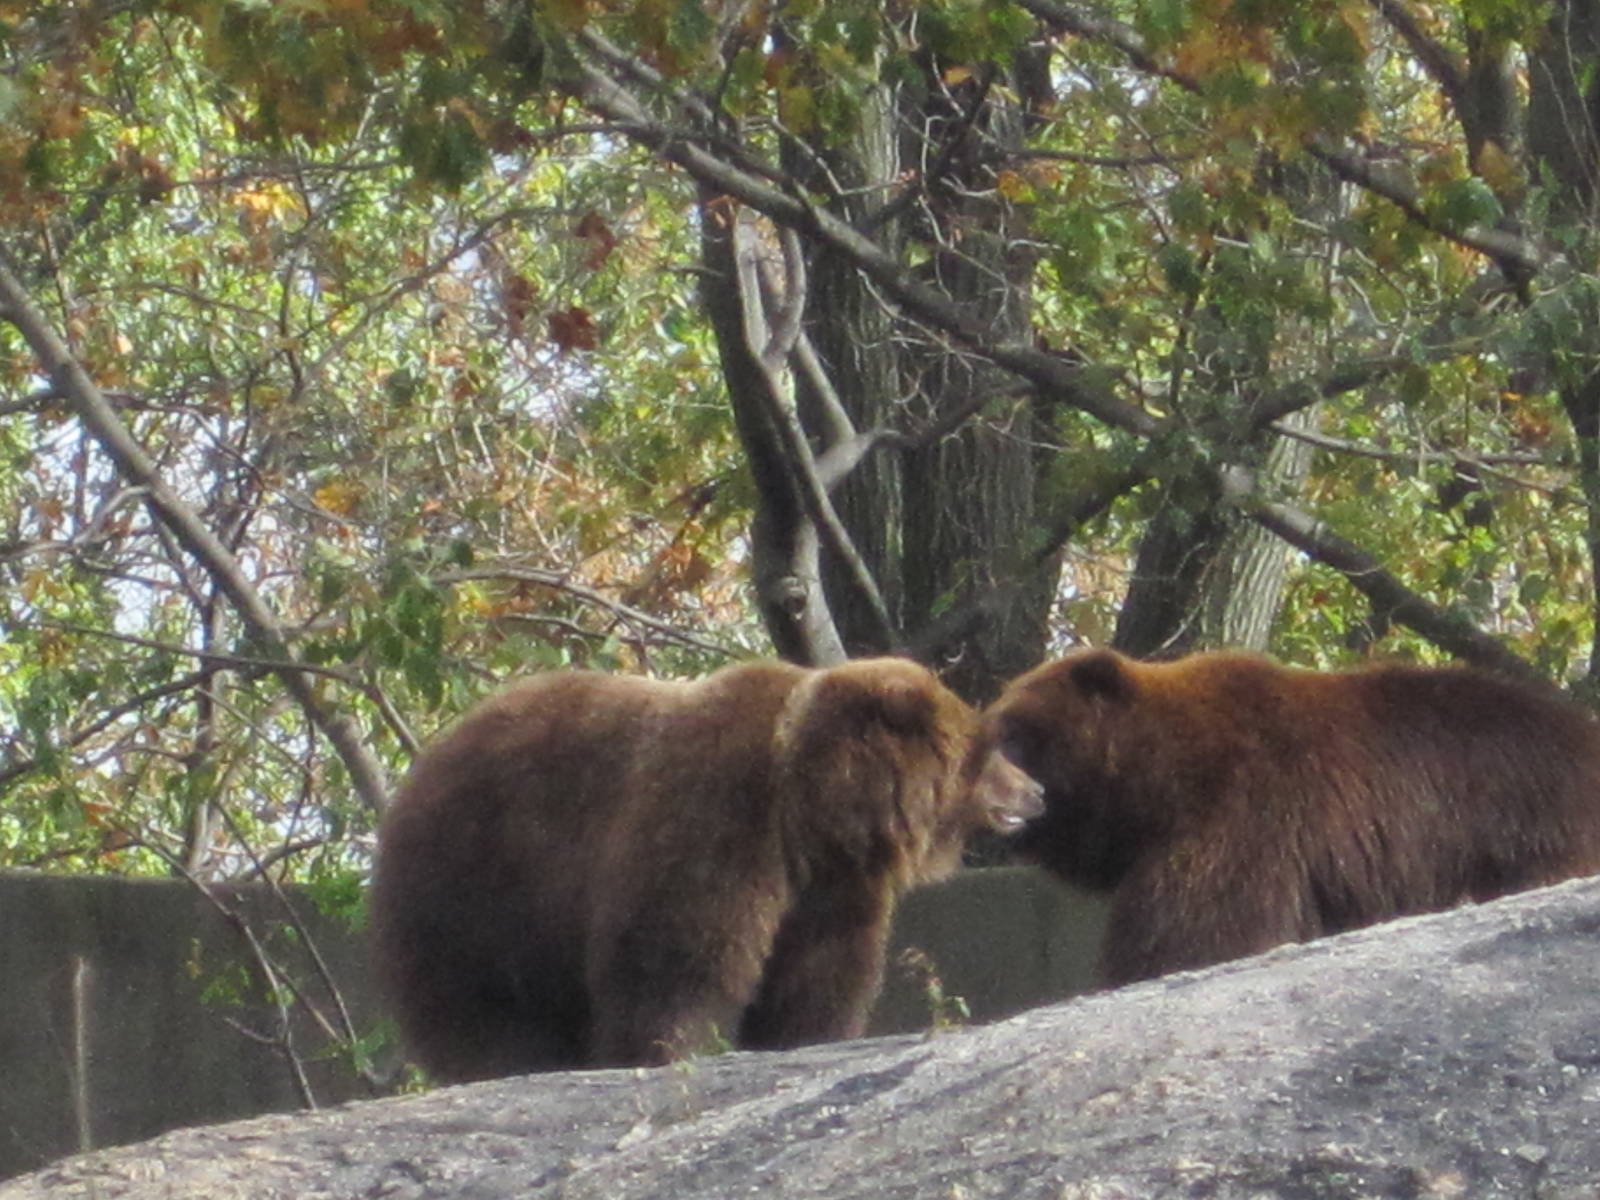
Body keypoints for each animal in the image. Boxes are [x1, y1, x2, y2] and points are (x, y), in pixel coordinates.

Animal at [370, 656, 1043, 1081]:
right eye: (988, 750)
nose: (1036, 792)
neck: (810, 804)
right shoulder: (718, 812)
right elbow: (677, 952)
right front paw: (666, 1048)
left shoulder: (831, 885)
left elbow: (820, 976)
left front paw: (805, 1036)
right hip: (481, 878)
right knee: (482, 999)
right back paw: (506, 1062)